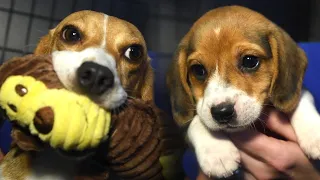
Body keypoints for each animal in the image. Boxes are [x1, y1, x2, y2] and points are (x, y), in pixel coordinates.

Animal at [166, 5, 320, 179]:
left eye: (249, 61)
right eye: (198, 70)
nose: (222, 112)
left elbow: (301, 97)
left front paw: (314, 133)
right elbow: (196, 120)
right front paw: (217, 152)